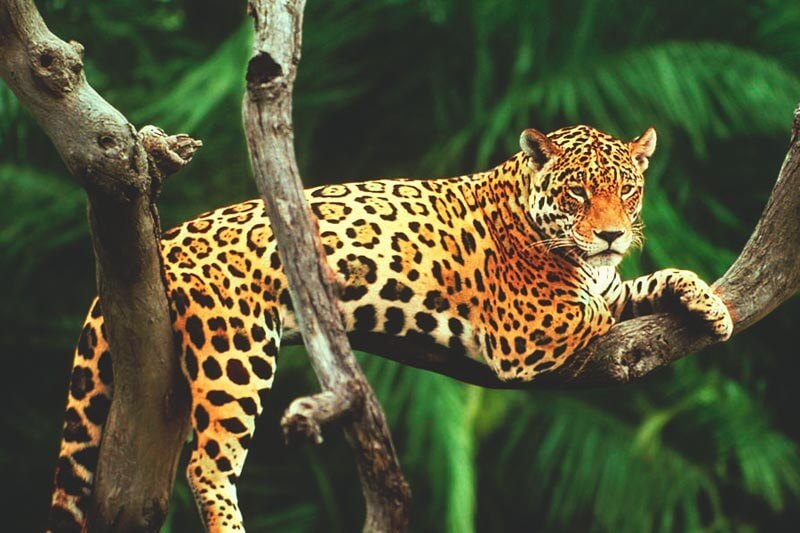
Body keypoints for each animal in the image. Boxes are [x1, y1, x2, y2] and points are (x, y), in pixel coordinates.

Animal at [47, 124, 733, 532]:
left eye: (628, 191)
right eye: (577, 195)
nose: (612, 233)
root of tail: (163, 240)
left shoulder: (605, 284)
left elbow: (644, 283)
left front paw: (711, 305)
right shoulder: (527, 329)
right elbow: (594, 308)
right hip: (233, 352)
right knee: (208, 464)